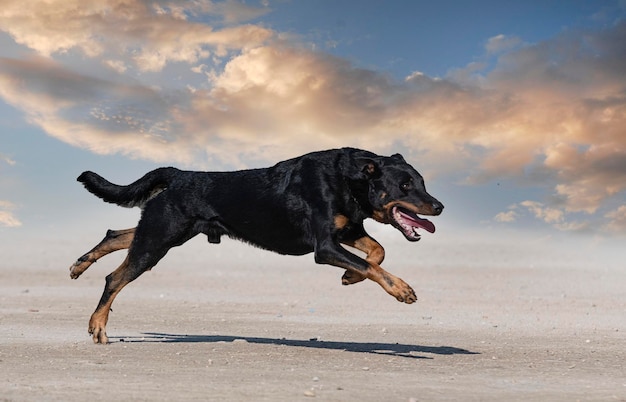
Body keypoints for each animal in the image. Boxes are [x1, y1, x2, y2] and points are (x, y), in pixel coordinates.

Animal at [69, 148, 438, 342]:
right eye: (405, 185)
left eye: (422, 182)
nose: (439, 206)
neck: (350, 180)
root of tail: (177, 174)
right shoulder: (325, 247)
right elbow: (371, 262)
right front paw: (401, 289)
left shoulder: (345, 232)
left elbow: (376, 254)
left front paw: (351, 277)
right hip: (159, 238)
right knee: (115, 277)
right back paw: (97, 325)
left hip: (169, 231)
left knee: (117, 234)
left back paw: (80, 265)